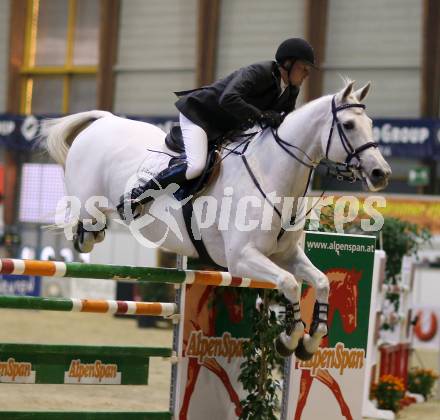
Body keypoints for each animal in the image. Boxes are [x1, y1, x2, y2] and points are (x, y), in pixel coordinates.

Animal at [43, 80, 390, 360]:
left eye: (371, 123)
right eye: (348, 125)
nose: (380, 173)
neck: (272, 173)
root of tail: (105, 120)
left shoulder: (286, 255)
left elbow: (319, 282)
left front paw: (311, 339)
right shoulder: (242, 258)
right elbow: (290, 284)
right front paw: (290, 339)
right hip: (88, 201)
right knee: (85, 224)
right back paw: (100, 224)